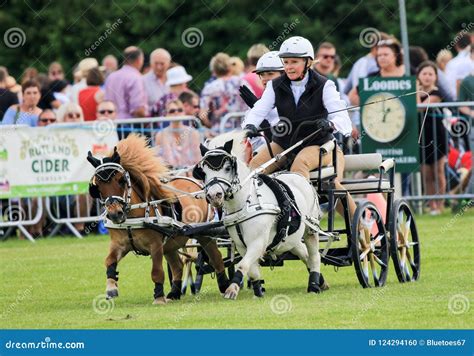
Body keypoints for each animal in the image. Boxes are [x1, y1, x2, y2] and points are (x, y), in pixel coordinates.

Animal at [193, 131, 330, 298]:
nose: (214, 195)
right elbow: (252, 270)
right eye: (203, 172)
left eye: (227, 168)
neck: (245, 205)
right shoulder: (242, 246)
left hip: (311, 229)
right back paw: (322, 282)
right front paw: (258, 290)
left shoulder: (258, 242)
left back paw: (314, 285)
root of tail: (299, 176)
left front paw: (232, 289)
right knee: (304, 254)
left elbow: (243, 264)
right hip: (291, 238)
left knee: (314, 256)